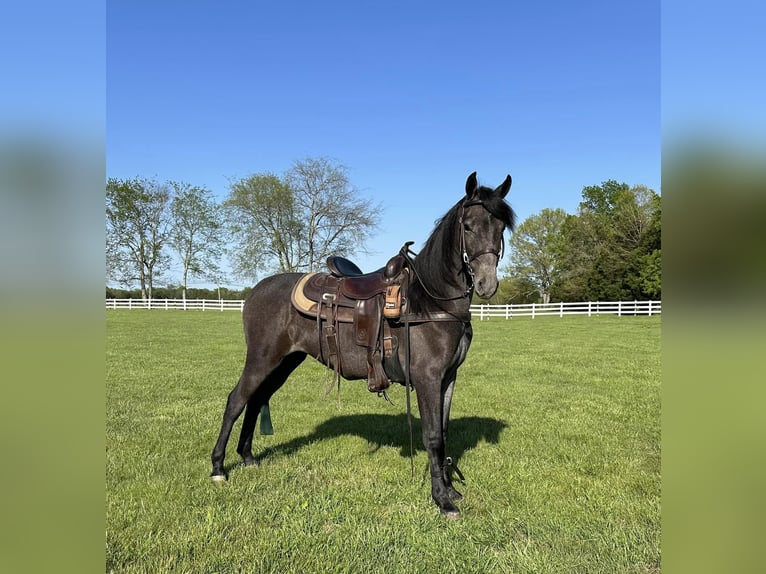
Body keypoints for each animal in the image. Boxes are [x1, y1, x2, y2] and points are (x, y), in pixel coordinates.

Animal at [213, 171, 520, 516]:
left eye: (500, 227)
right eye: (467, 226)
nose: (487, 284)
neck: (430, 300)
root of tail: (255, 291)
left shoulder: (448, 378)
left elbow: (443, 431)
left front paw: (450, 489)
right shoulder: (427, 378)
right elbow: (432, 437)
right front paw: (442, 500)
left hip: (285, 362)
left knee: (256, 400)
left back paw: (248, 457)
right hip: (262, 358)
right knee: (236, 400)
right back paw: (218, 468)